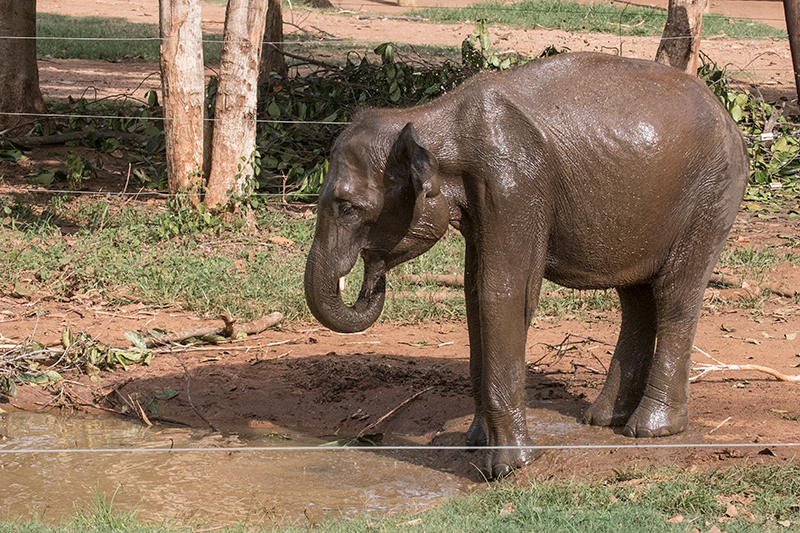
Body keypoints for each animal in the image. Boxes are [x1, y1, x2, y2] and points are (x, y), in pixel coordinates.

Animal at [304, 52, 752, 480]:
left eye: (348, 207)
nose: (371, 280)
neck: (434, 119)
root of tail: (728, 117)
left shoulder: (514, 184)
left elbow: (503, 291)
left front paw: (507, 468)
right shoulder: (487, 201)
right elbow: (474, 294)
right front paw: (475, 444)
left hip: (713, 194)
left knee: (674, 292)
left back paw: (650, 429)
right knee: (636, 297)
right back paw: (605, 420)